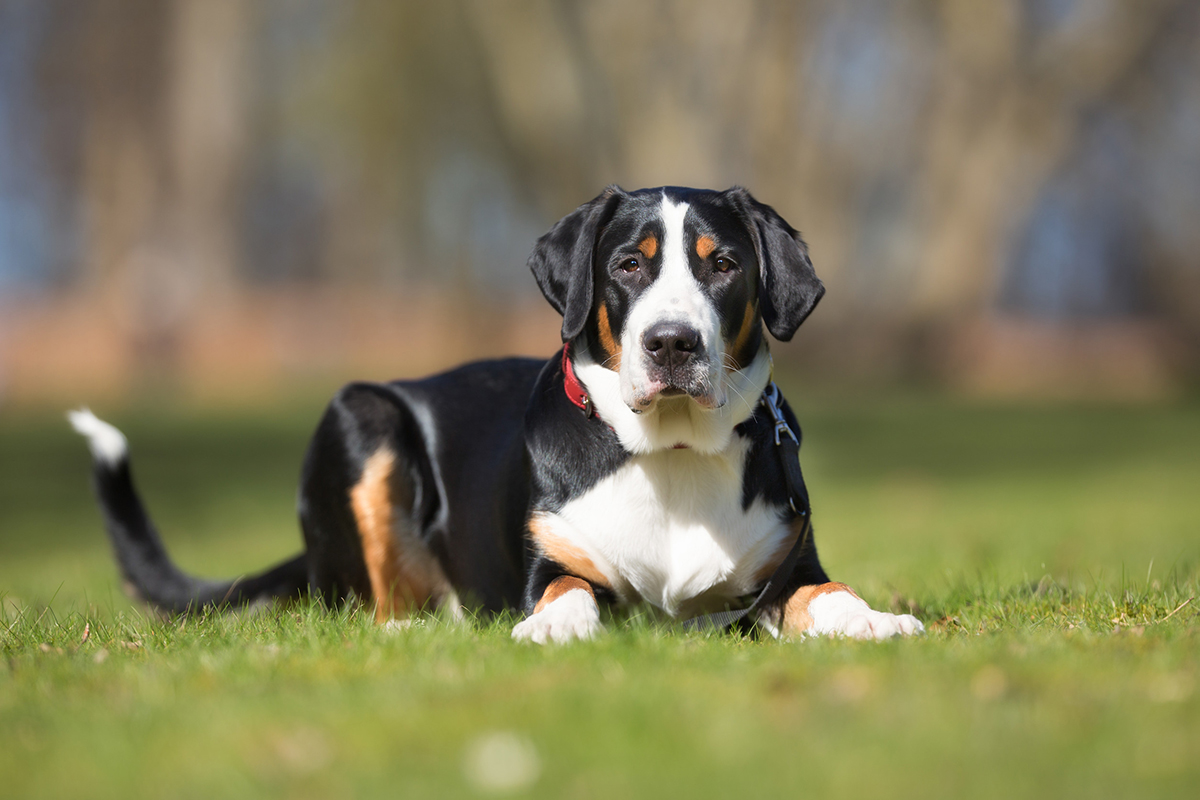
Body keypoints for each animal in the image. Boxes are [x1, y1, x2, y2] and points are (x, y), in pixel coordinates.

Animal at [70, 185, 921, 642]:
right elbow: (566, 591)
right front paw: (552, 625)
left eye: (725, 264)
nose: (672, 343)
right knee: (373, 608)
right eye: (628, 264)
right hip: (363, 415)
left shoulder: (784, 571)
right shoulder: (550, 562)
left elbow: (828, 594)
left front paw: (875, 620)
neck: (671, 455)